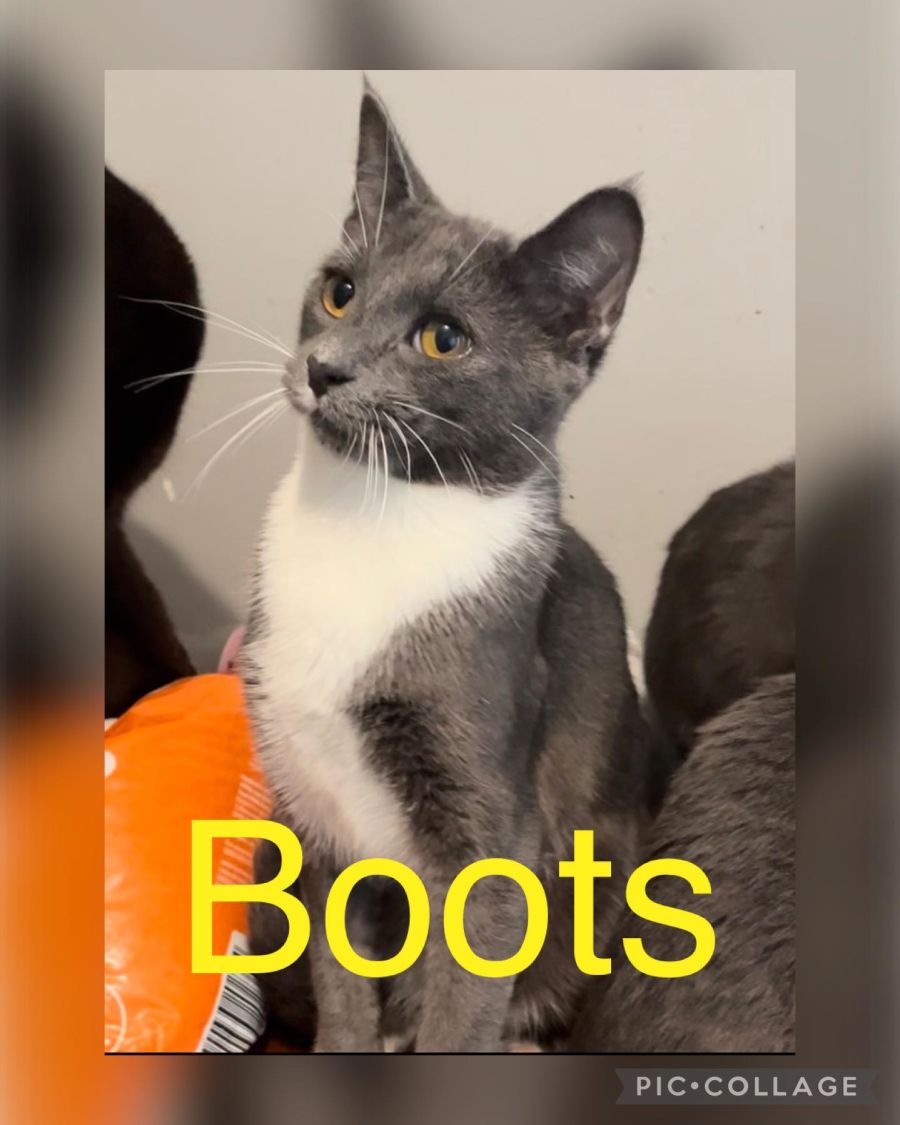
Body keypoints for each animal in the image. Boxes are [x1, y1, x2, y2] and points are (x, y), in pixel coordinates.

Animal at [242, 82, 660, 1052]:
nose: (325, 368)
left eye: (443, 337)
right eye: (340, 291)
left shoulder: (493, 831)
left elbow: (461, 1004)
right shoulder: (317, 818)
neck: (369, 516)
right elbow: (343, 992)